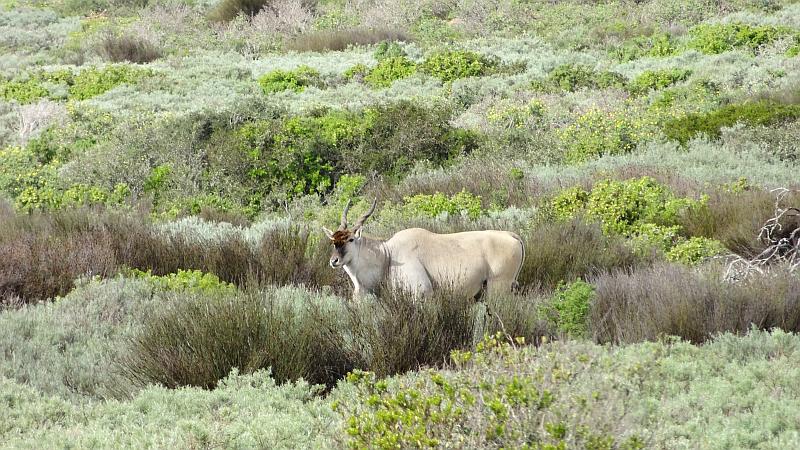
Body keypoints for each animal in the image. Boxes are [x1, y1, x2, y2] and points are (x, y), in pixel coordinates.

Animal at [320, 198, 524, 298]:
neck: (388, 255)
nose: (334, 261)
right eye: (333, 241)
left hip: (499, 287)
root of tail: (512, 235)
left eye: (351, 239)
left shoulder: (422, 294)